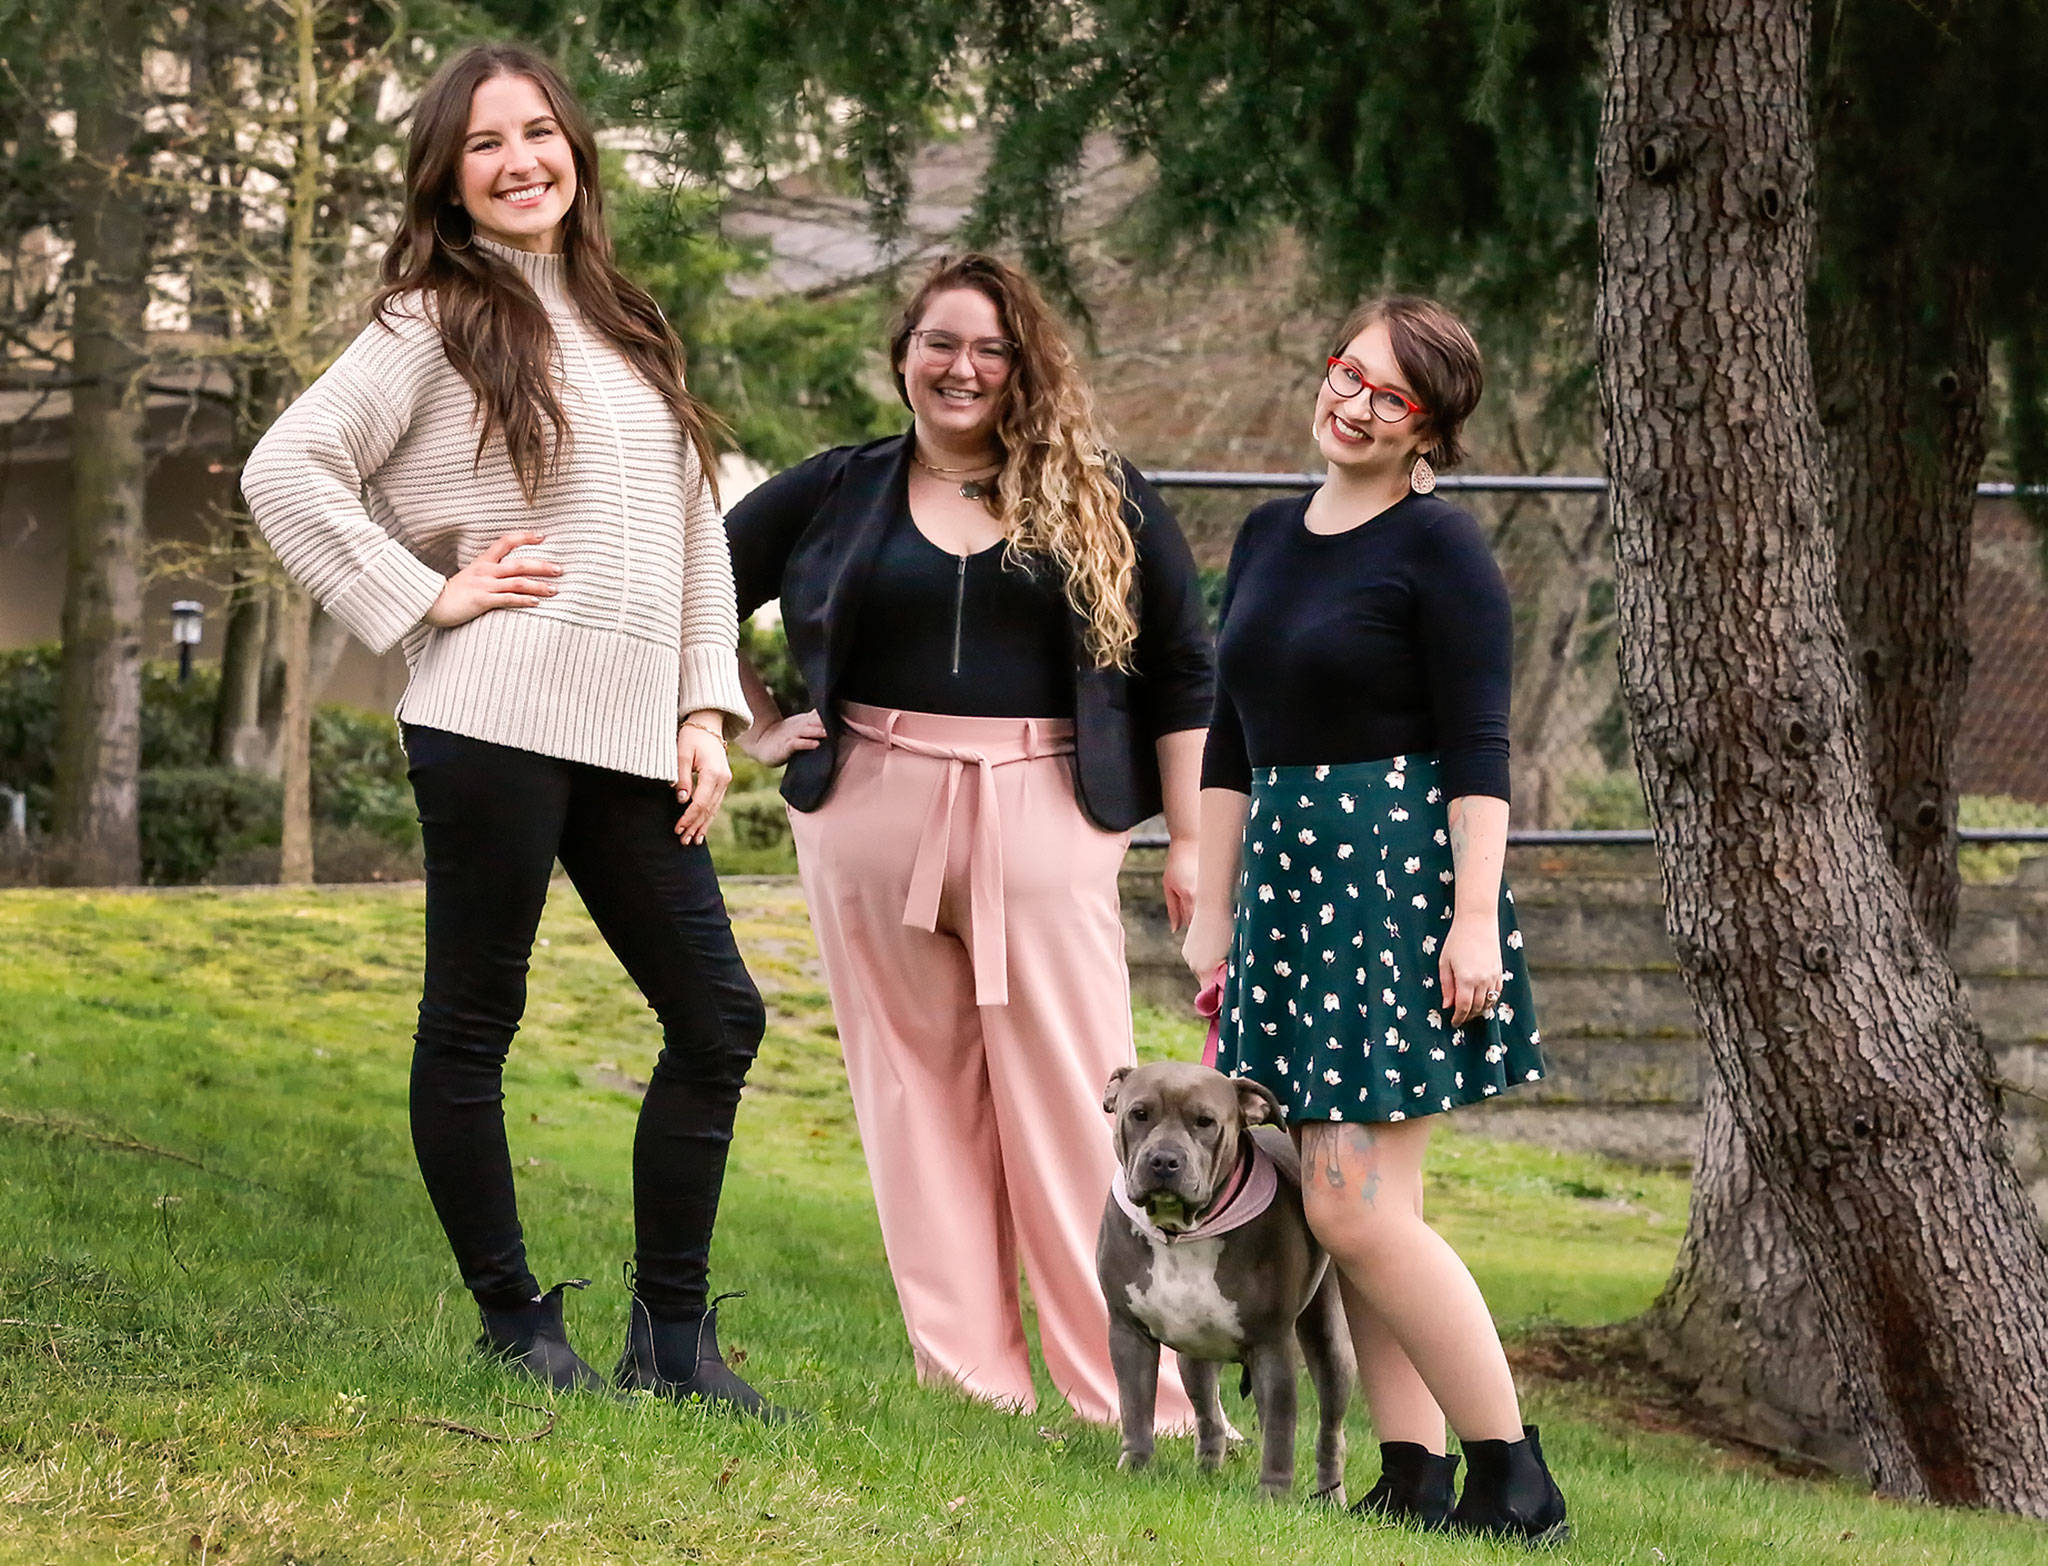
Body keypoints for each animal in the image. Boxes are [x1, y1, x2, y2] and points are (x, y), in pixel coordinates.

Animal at [1097, 1056, 1351, 1498]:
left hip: (1330, 1342)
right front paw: (1135, 1467)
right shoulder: (1128, 1333)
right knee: (1209, 1415)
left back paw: (1330, 1494)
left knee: (1330, 1428)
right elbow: (1136, 1408)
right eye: (1139, 1114)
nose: (1164, 1160)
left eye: (1205, 1121)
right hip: (1194, 1355)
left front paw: (1273, 1495)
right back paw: (1207, 1472)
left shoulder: (1272, 1346)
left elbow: (1280, 1427)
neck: (1182, 1231)